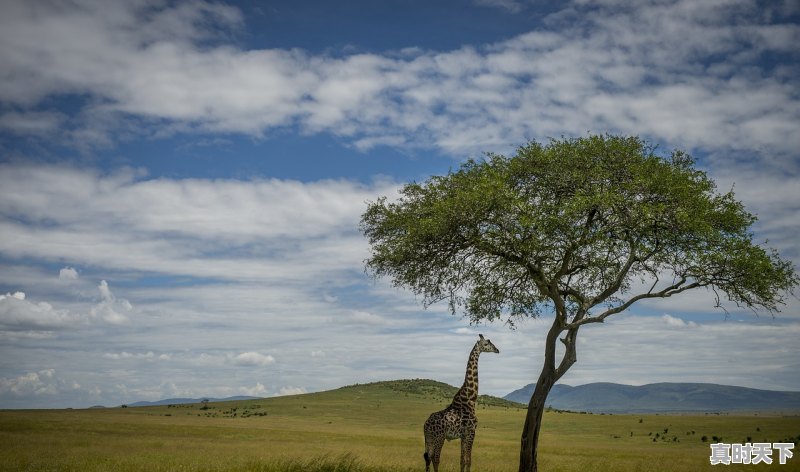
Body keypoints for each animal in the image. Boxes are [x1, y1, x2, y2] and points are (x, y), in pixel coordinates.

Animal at [422, 334, 496, 470]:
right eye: (487, 344)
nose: (497, 350)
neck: (470, 399)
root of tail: (426, 425)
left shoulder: (463, 435)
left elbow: (462, 460)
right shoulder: (471, 431)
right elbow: (469, 460)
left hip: (428, 438)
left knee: (427, 457)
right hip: (439, 437)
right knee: (435, 458)